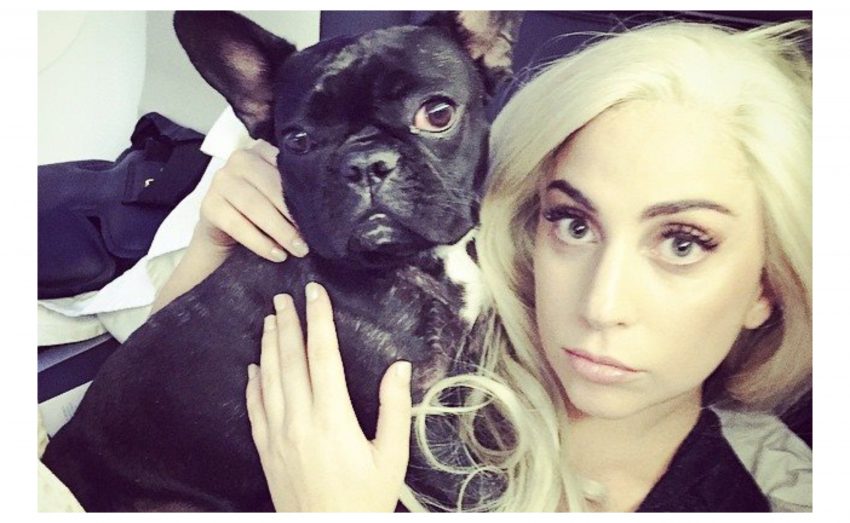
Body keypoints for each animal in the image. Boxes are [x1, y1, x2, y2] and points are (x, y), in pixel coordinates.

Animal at [41, 11, 523, 511]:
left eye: (437, 113)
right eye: (298, 141)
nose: (364, 162)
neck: (409, 260)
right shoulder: (416, 418)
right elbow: (478, 487)